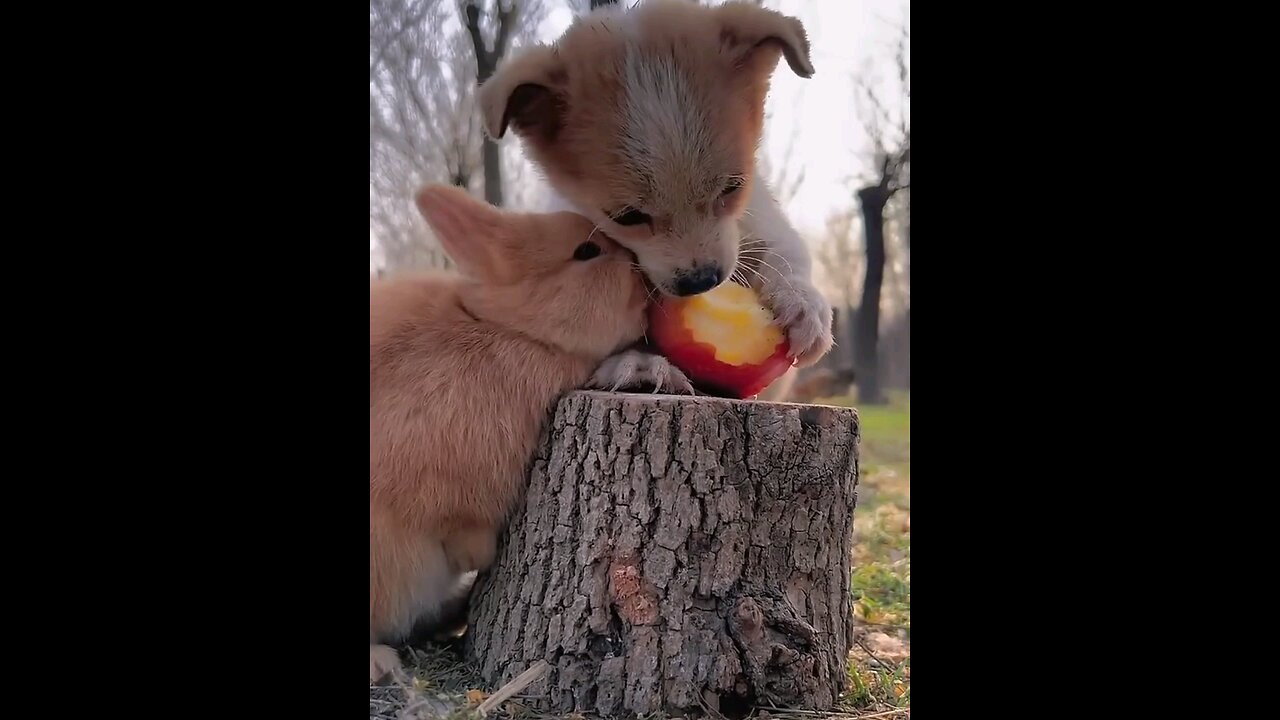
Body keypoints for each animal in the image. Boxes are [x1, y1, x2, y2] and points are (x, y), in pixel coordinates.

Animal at [478, 0, 829, 392]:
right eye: (627, 217)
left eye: (731, 188)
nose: (703, 281)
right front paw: (639, 361)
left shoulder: (759, 216)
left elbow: (786, 250)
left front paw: (802, 304)